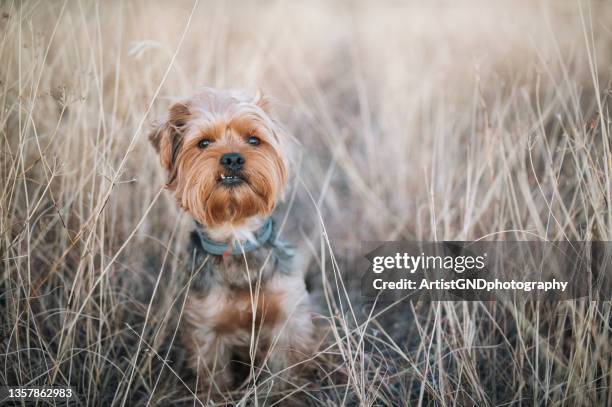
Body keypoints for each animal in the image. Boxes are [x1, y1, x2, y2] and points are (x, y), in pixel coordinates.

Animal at [148, 88, 316, 398]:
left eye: (254, 139)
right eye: (203, 143)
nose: (233, 159)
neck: (237, 236)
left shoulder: (288, 319)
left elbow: (284, 377)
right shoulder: (206, 330)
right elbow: (215, 381)